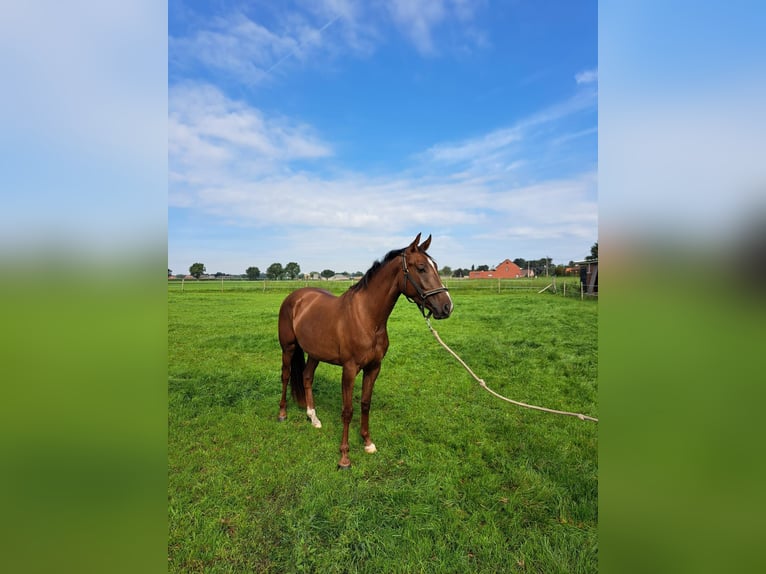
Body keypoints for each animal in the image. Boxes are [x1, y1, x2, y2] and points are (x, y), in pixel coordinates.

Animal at [280, 233, 452, 468]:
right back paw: (282, 414)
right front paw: (344, 457)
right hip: (288, 348)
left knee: (306, 377)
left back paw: (313, 418)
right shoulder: (350, 369)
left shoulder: (374, 368)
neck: (367, 318)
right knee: (286, 376)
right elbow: (347, 410)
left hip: (315, 353)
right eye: (421, 268)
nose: (447, 307)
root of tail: (295, 297)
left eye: (435, 266)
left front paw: (367, 442)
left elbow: (364, 404)